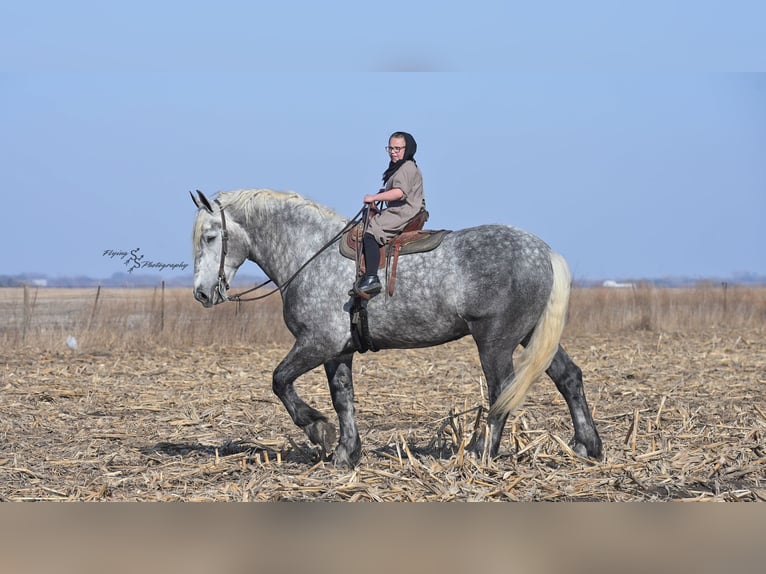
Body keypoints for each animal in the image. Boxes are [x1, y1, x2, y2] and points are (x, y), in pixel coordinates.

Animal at [190, 188, 602, 468]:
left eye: (210, 237)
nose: (201, 293)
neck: (310, 254)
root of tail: (543, 251)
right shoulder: (337, 351)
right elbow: (343, 398)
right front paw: (346, 452)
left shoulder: (317, 343)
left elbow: (279, 381)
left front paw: (317, 430)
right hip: (530, 335)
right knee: (568, 377)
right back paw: (587, 445)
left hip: (496, 341)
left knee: (501, 389)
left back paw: (478, 451)